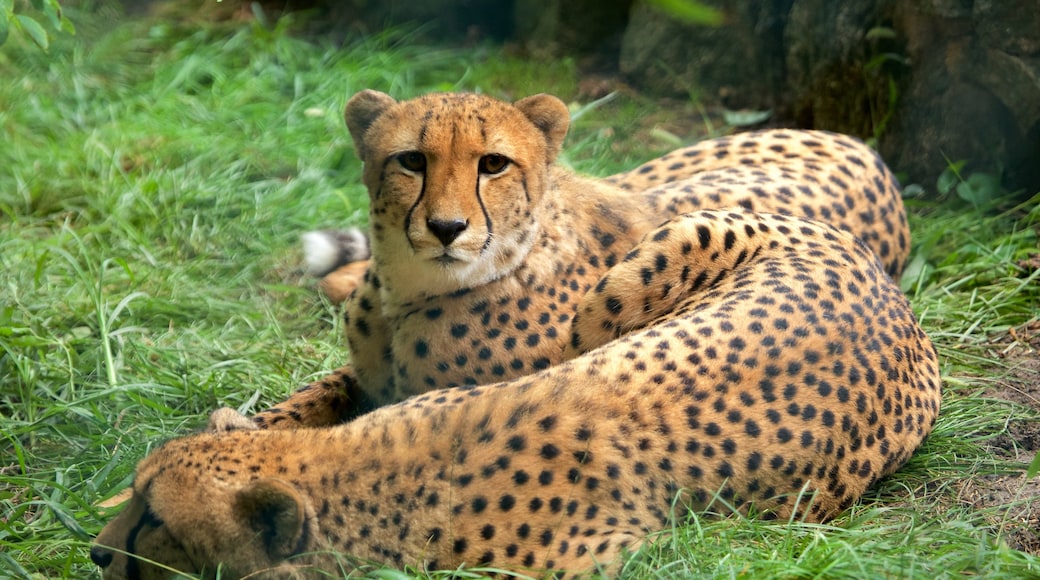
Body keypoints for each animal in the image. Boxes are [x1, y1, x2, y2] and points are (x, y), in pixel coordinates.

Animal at [211, 90, 911, 432]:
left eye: (493, 164)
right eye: (411, 160)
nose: (446, 227)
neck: (407, 291)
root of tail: (864, 148)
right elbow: (324, 387)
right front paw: (248, 424)